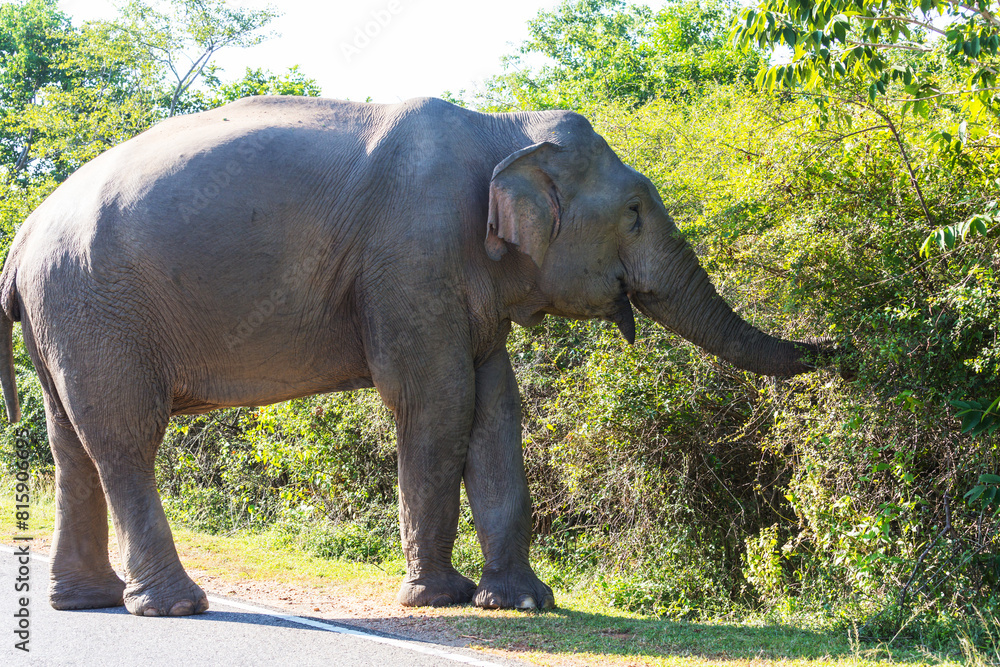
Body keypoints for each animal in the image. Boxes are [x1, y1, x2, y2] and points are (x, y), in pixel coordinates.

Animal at [0, 96, 838, 617]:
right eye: (633, 213)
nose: (842, 349)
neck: (502, 127)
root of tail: (22, 237)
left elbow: (498, 409)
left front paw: (523, 601)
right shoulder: (415, 252)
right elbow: (437, 400)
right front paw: (440, 595)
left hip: (63, 316)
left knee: (70, 445)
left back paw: (87, 601)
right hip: (98, 307)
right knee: (124, 440)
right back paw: (177, 605)